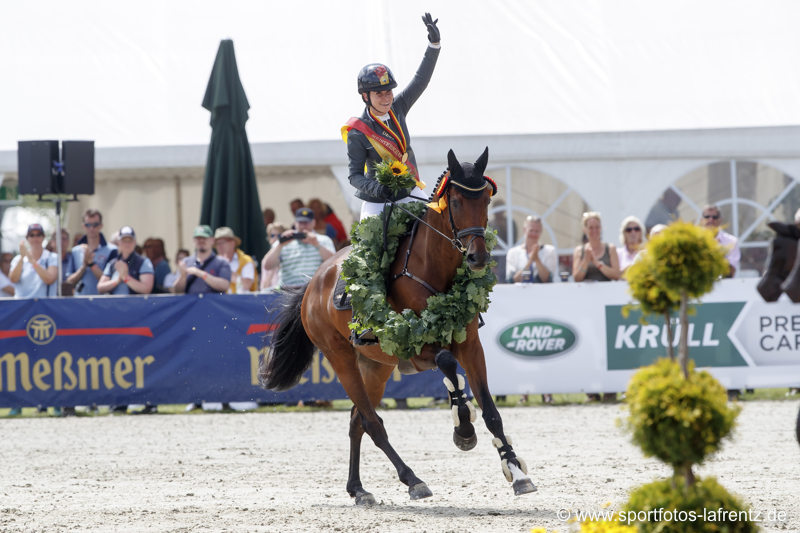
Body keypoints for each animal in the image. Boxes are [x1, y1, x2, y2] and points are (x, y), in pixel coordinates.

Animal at [262, 148, 536, 500]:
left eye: (487, 199)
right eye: (456, 202)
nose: (478, 258)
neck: (432, 269)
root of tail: (312, 284)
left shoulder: (471, 346)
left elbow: (491, 411)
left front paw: (516, 471)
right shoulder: (416, 347)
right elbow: (447, 364)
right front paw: (463, 428)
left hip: (375, 367)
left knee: (357, 422)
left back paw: (358, 489)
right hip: (342, 359)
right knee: (372, 423)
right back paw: (412, 479)